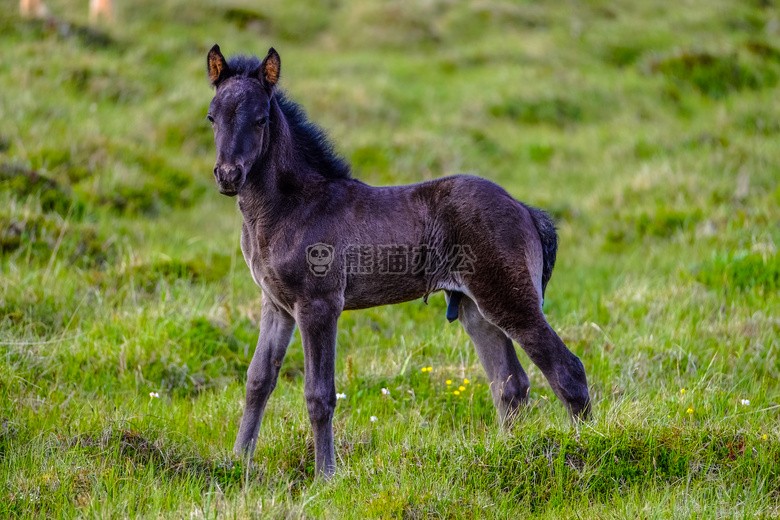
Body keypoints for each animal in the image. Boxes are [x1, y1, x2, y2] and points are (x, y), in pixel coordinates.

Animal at [207, 45, 592, 480]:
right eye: (212, 116)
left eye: (261, 119)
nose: (228, 175)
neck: (291, 206)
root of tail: (525, 209)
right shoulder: (276, 304)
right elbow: (257, 380)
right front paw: (238, 463)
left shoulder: (318, 305)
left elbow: (319, 394)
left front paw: (326, 477)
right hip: (476, 308)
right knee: (510, 386)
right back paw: (510, 451)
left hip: (509, 299)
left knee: (567, 370)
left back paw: (588, 444)